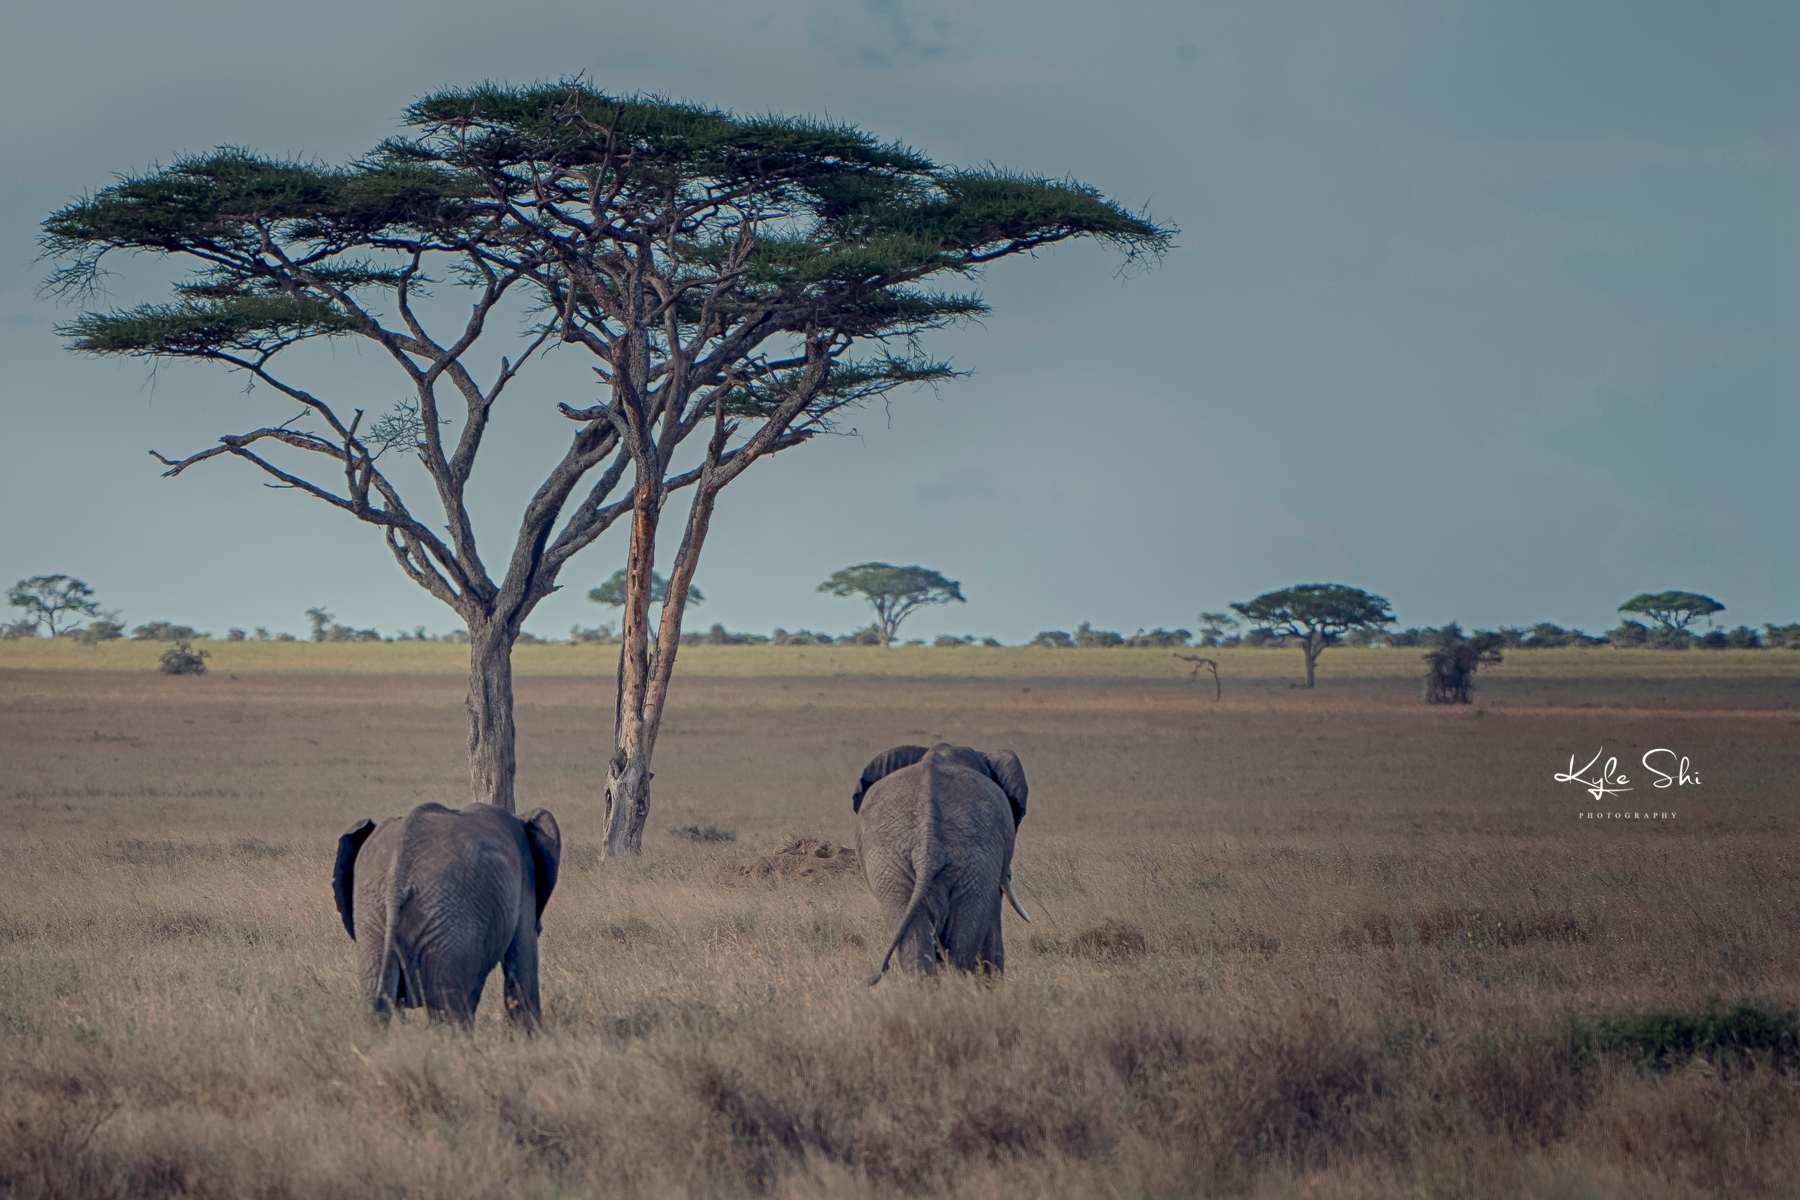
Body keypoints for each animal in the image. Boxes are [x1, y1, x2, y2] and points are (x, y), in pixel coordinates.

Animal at [334, 802, 558, 1029]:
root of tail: (397, 878)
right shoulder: (525, 880)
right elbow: (523, 964)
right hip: (449, 922)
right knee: (449, 1013)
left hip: (375, 914)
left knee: (377, 1005)